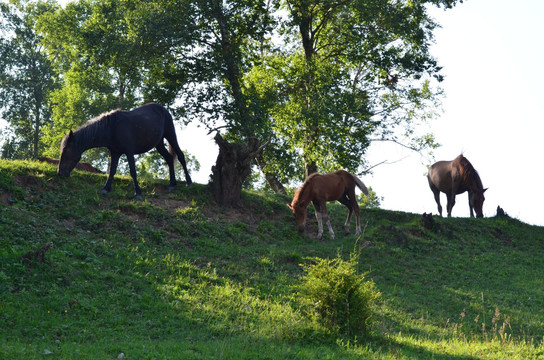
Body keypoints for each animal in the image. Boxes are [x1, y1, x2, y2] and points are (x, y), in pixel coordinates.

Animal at [57, 102, 192, 200]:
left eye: (66, 150)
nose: (60, 173)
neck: (111, 128)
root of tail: (163, 109)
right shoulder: (115, 153)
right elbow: (112, 171)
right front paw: (105, 188)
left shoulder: (129, 152)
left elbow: (133, 171)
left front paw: (138, 193)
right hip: (158, 144)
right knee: (169, 158)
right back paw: (172, 184)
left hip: (170, 135)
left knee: (180, 156)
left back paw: (189, 182)